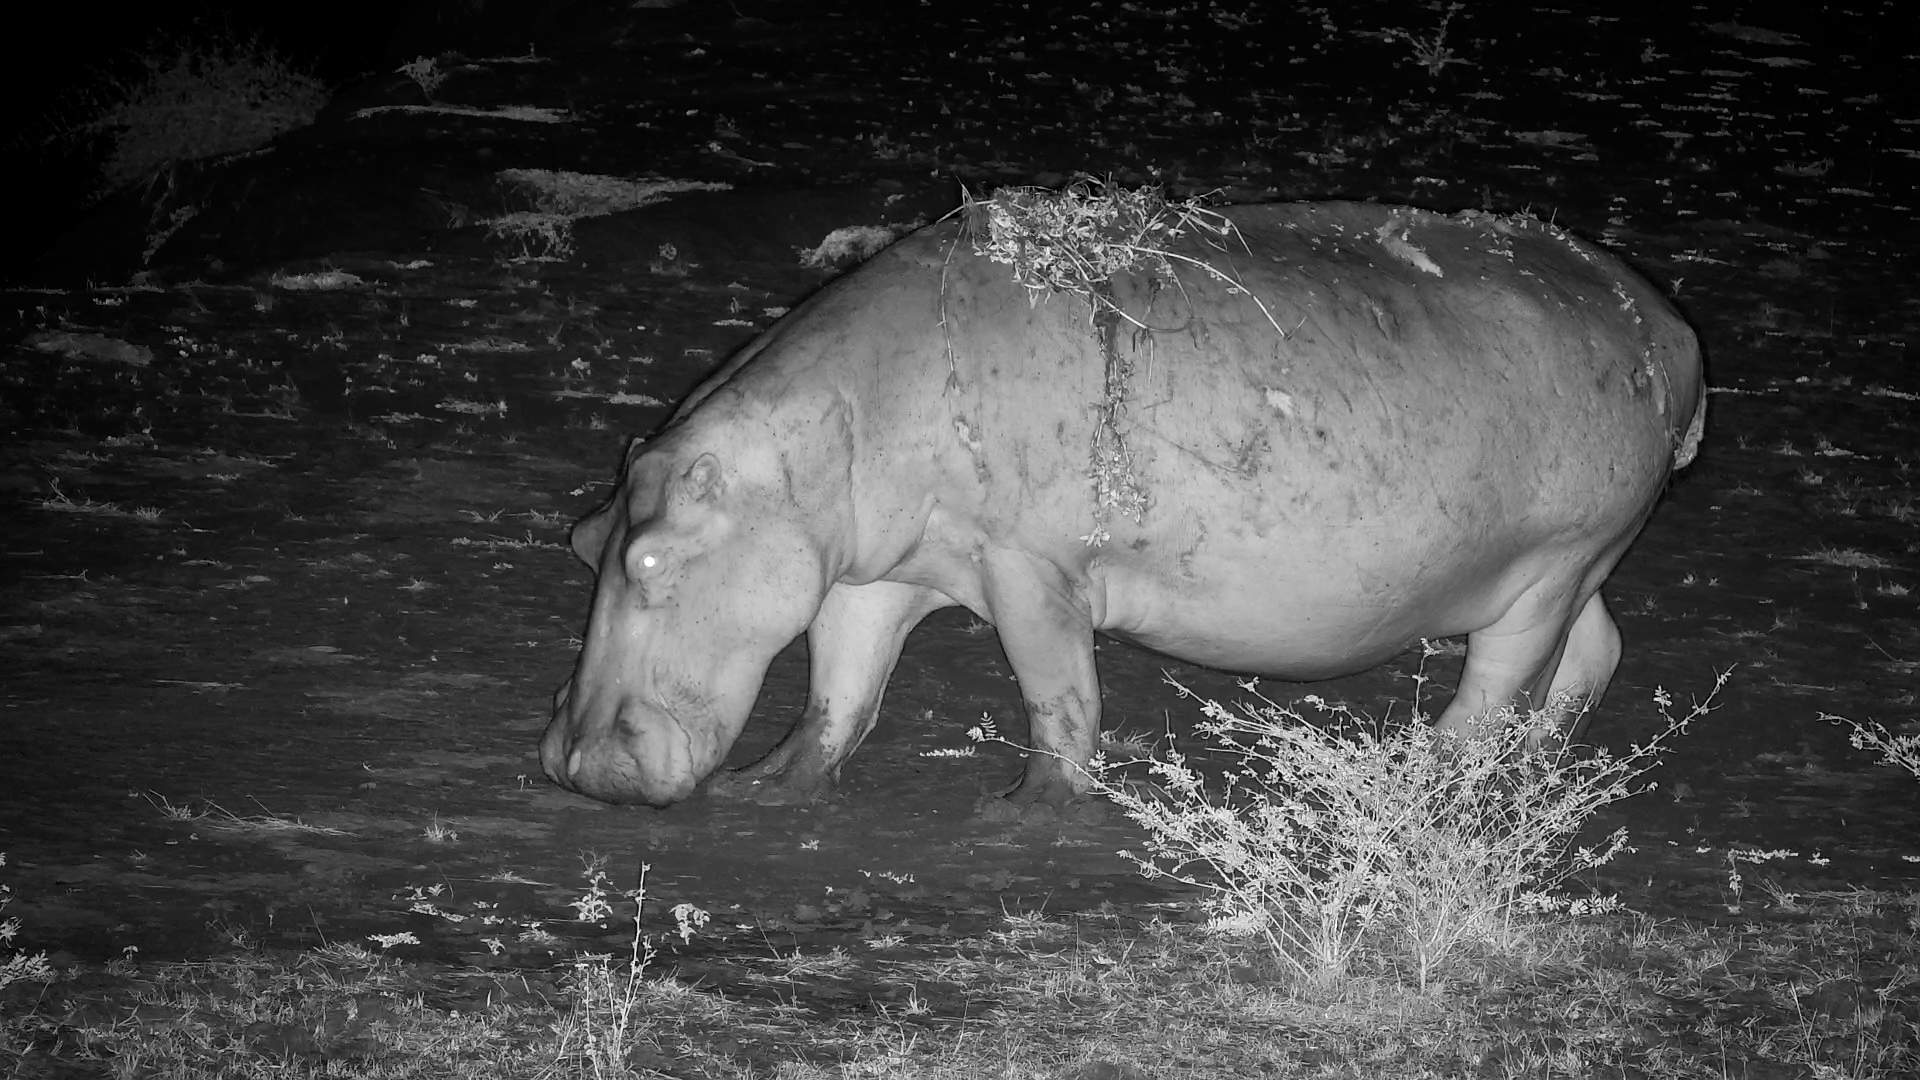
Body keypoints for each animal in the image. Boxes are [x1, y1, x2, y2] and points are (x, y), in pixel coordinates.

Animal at [540, 200, 1704, 808]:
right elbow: (839, 688)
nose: (566, 759)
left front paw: (1025, 809)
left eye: (648, 562)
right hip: (1570, 566)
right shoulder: (869, 567)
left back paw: (1428, 774)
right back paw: (1534, 766)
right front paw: (771, 782)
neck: (825, 429)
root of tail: (1669, 326)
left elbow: (1059, 694)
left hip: (1551, 563)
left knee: (1499, 685)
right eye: (584, 537)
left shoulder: (1027, 568)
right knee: (1591, 653)